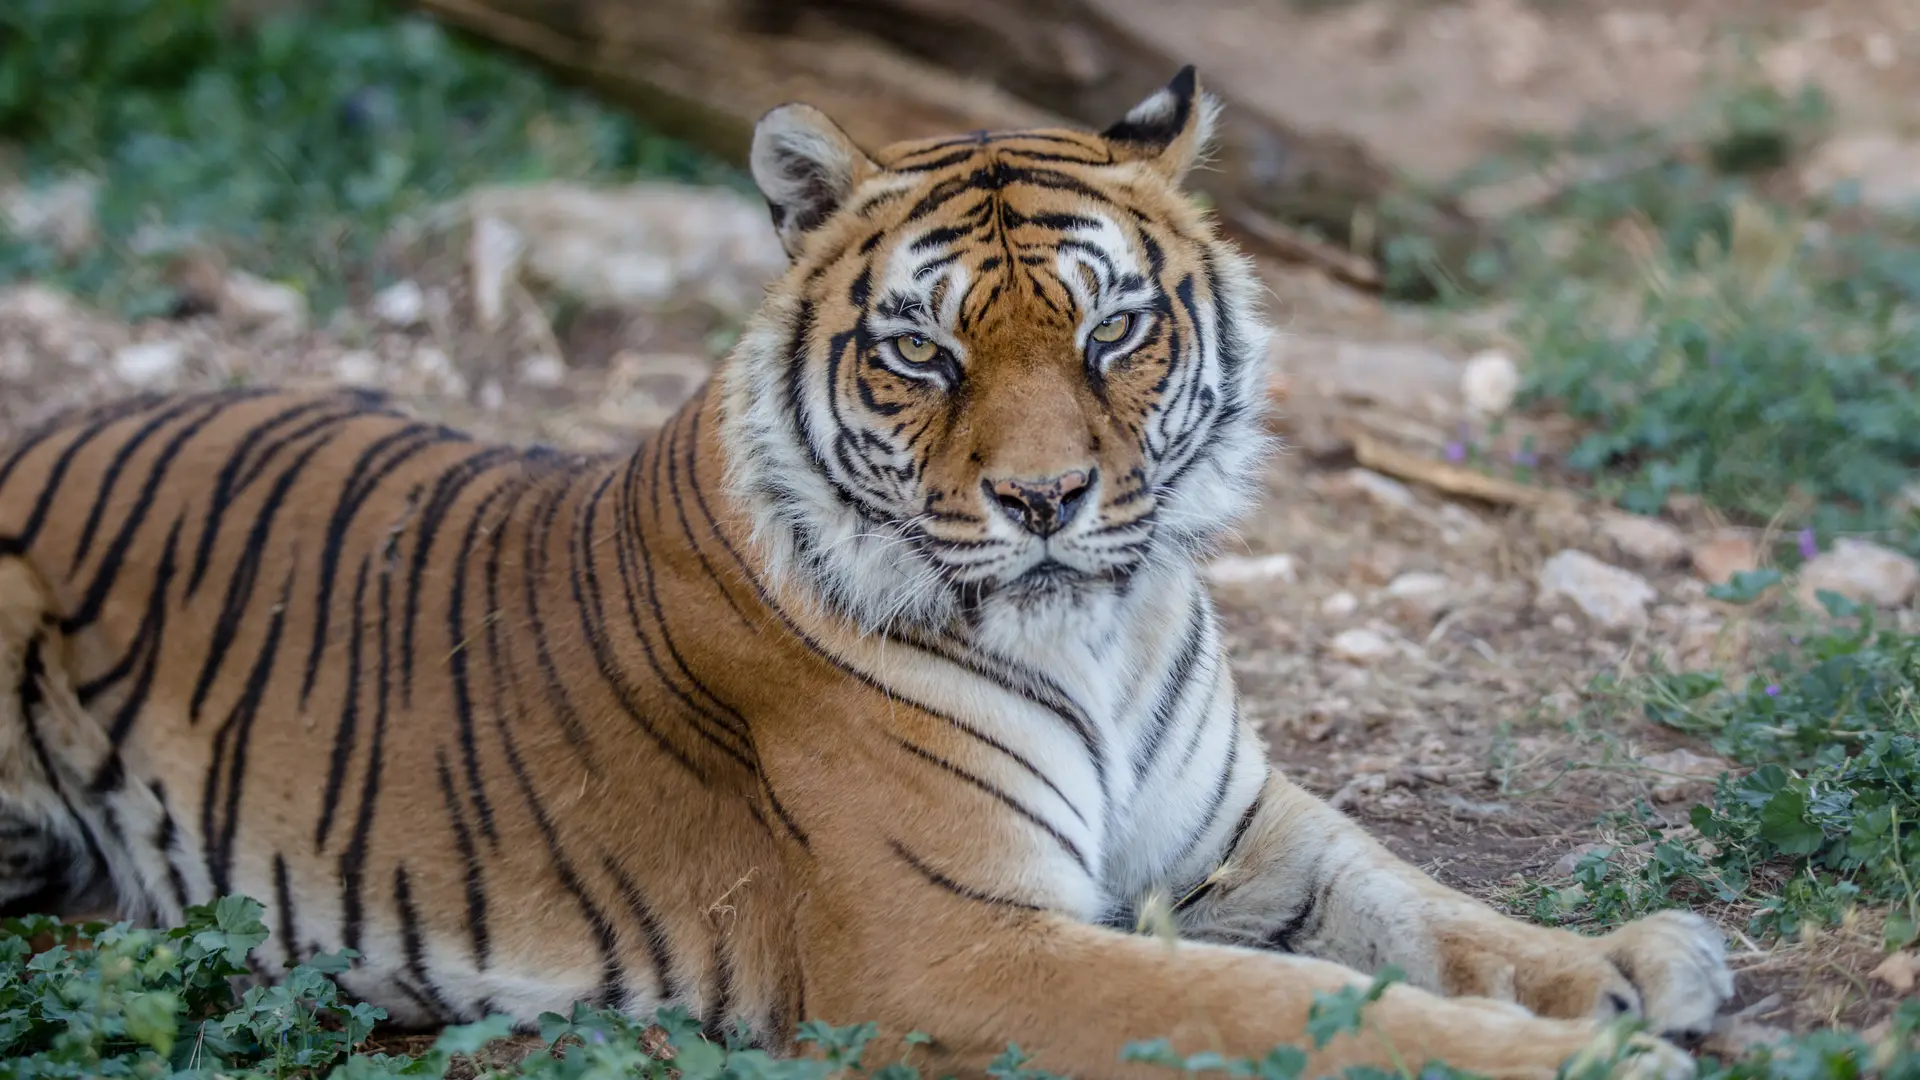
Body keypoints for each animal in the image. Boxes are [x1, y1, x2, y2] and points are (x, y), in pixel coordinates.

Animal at [0, 69, 1735, 1076]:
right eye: (922, 353)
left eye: (1112, 331)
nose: (1045, 500)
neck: (1101, 625)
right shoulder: (960, 943)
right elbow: (1289, 1011)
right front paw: (1601, 1058)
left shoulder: (1234, 831)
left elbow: (1421, 904)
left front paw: (1634, 964)